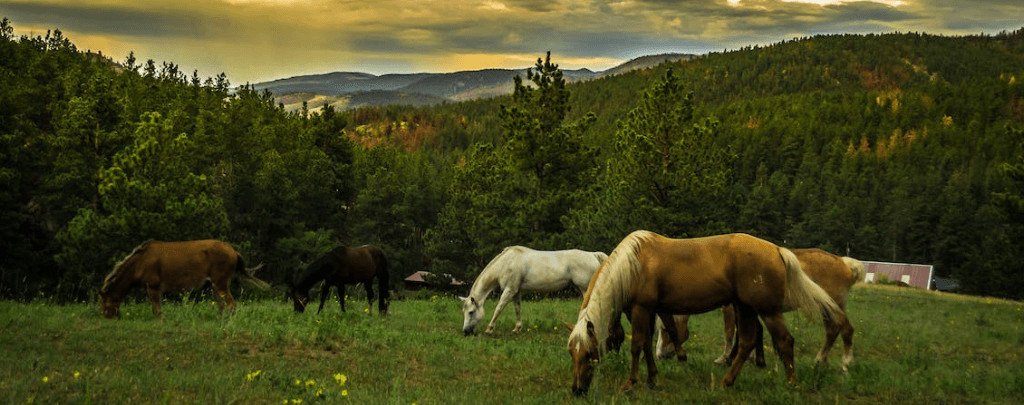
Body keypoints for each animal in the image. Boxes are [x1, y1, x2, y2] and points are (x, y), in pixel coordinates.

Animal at [96, 239, 268, 317]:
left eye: (104, 304)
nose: (106, 317)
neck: (139, 264)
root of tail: (234, 252)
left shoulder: (153, 286)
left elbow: (157, 311)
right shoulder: (153, 288)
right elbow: (156, 309)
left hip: (220, 282)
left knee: (231, 304)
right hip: (215, 284)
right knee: (222, 305)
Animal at [458, 246, 606, 335]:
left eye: (471, 312)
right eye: (464, 312)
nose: (466, 331)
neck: (506, 263)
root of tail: (593, 255)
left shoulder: (509, 290)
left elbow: (498, 308)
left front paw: (489, 329)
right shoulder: (516, 291)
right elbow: (517, 309)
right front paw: (517, 328)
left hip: (584, 289)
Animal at [569, 231, 839, 394]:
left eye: (589, 353)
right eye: (572, 353)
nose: (577, 389)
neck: (632, 264)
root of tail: (776, 249)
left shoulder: (641, 309)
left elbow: (636, 346)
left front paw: (629, 384)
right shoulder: (648, 311)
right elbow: (646, 345)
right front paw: (652, 379)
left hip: (767, 310)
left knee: (784, 341)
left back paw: (791, 383)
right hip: (744, 308)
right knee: (747, 342)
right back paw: (727, 381)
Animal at [655, 246, 864, 370]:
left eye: (665, 330)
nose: (660, 355)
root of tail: (845, 263)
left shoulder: (730, 308)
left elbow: (731, 334)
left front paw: (725, 358)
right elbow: (754, 331)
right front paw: (753, 358)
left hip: (834, 306)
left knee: (846, 329)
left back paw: (845, 364)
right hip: (826, 308)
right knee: (832, 331)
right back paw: (820, 360)